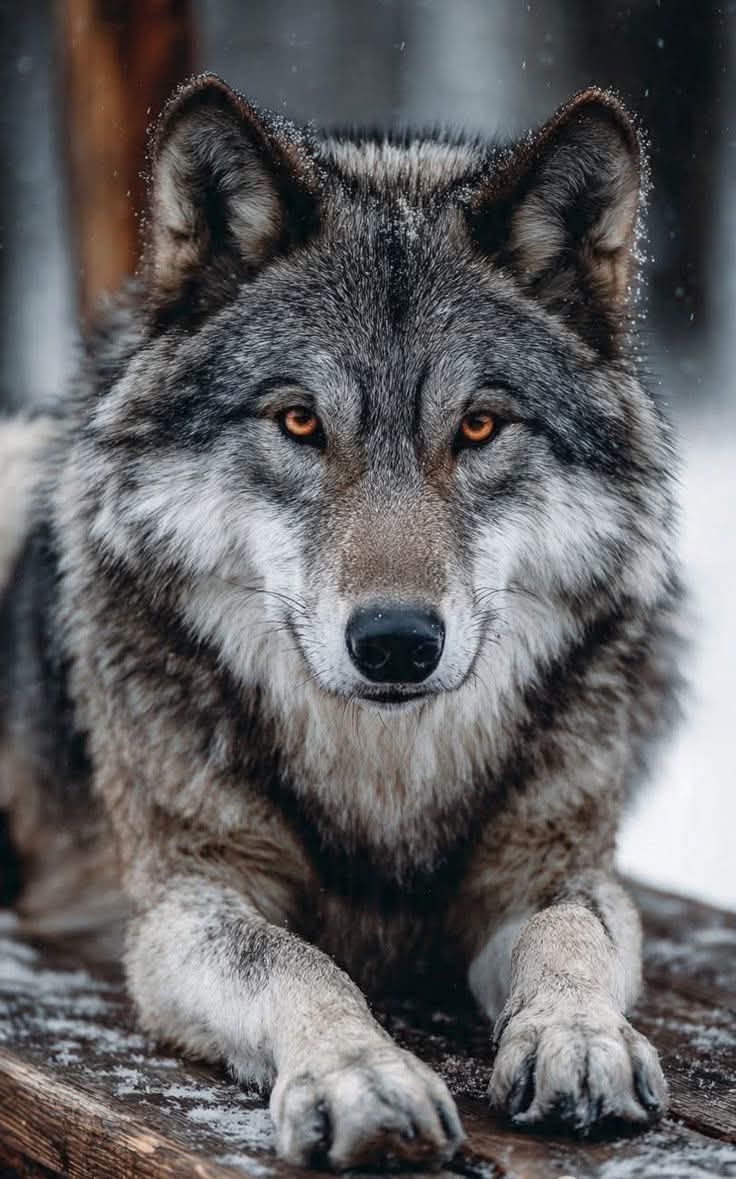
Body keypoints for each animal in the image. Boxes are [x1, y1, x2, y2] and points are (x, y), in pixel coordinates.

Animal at [0, 75, 680, 1169]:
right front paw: (361, 1077)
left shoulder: (552, 866)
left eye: (479, 425)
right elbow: (294, 962)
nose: (397, 641)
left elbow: (567, 936)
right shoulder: (185, 898)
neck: (382, 778)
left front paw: (579, 1039)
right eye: (300, 422)